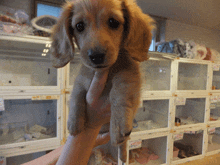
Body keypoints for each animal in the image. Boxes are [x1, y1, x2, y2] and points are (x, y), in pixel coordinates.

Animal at [51, 0, 155, 162]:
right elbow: (76, 94)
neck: (104, 71)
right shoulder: (82, 79)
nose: (96, 56)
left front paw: (118, 124)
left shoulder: (129, 74)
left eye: (113, 22)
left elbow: (119, 91)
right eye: (79, 26)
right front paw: (74, 120)